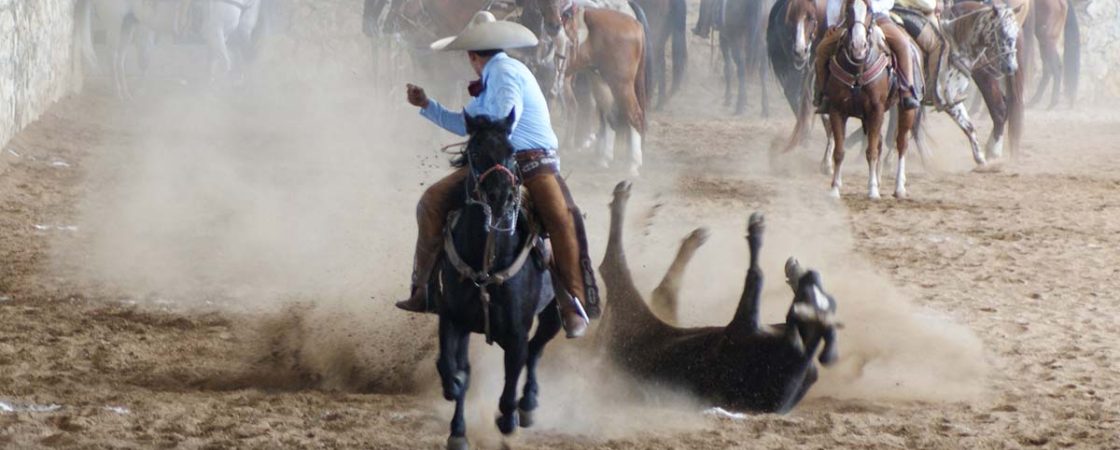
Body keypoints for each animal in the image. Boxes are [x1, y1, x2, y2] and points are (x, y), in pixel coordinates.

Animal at [432, 110, 564, 450]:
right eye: (475, 151)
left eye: (512, 150)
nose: (500, 195)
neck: (487, 259)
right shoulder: (453, 319)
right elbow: (453, 369)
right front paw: (457, 429)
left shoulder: (516, 333)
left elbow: (510, 383)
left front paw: (508, 420)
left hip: (554, 315)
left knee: (536, 349)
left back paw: (527, 405)